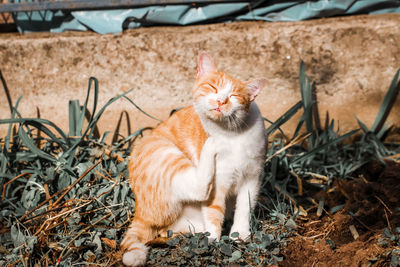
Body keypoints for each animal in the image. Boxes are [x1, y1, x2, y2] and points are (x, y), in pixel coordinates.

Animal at [120, 52, 268, 267]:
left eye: (233, 96)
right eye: (213, 87)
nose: (221, 101)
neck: (232, 135)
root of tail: (139, 210)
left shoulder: (252, 178)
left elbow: (244, 208)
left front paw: (240, 234)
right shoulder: (218, 184)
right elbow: (213, 212)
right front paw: (214, 240)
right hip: (167, 156)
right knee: (198, 188)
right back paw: (211, 145)